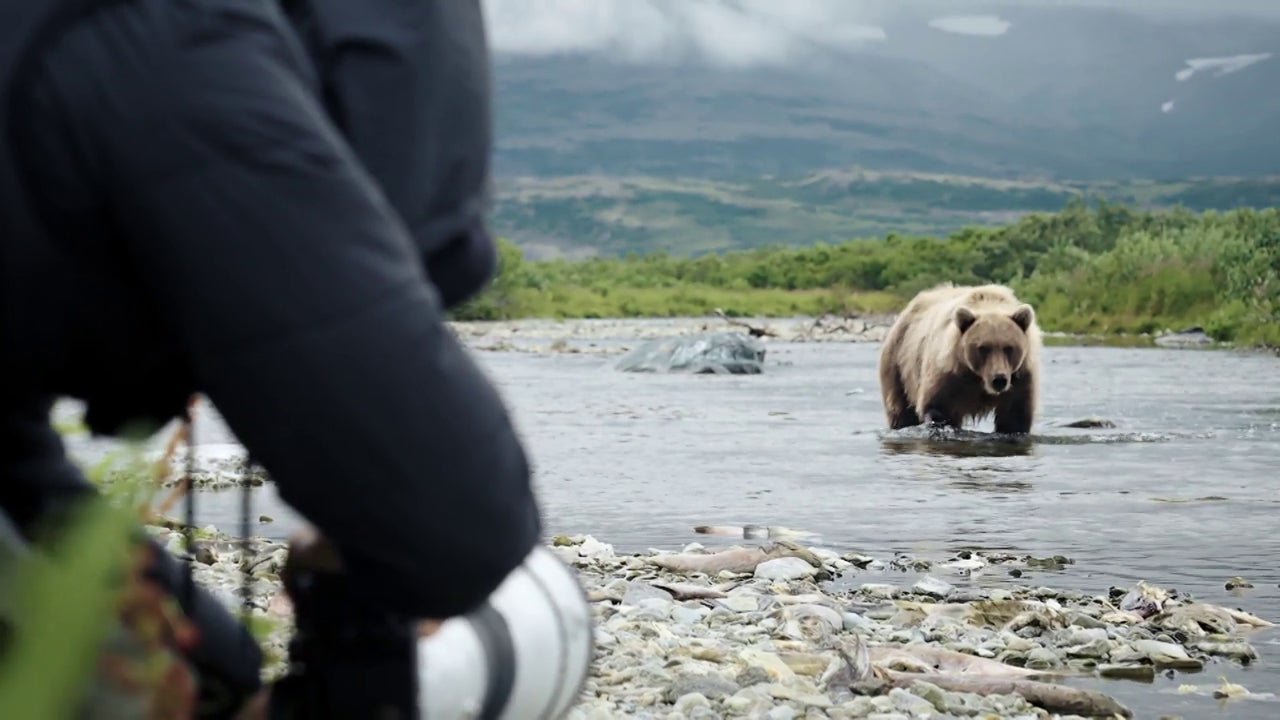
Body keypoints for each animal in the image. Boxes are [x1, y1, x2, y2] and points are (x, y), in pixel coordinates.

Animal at [877, 282, 1042, 434]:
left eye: (1009, 348)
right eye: (983, 348)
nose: (999, 379)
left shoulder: (1020, 378)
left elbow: (1014, 417)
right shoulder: (948, 375)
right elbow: (938, 408)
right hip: (898, 364)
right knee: (900, 409)